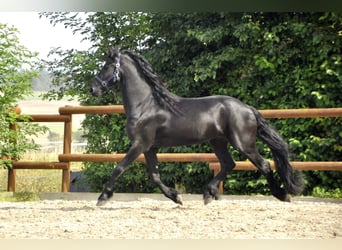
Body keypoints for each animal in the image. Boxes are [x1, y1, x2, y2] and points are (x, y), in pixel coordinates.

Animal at [91, 47, 304, 206]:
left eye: (108, 66)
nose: (93, 89)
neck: (145, 105)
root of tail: (248, 108)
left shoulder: (139, 144)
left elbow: (118, 168)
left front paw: (103, 197)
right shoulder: (150, 148)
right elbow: (155, 176)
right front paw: (176, 197)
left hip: (243, 144)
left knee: (264, 164)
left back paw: (282, 195)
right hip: (217, 141)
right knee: (229, 164)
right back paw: (209, 193)